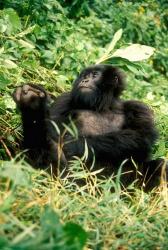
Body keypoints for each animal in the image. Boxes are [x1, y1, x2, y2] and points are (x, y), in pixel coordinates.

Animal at [12, 64, 166, 189]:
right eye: (85, 76)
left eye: (94, 75)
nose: (84, 81)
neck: (102, 106)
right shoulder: (63, 100)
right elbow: (51, 132)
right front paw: (33, 106)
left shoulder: (139, 108)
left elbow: (140, 138)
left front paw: (74, 145)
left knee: (160, 165)